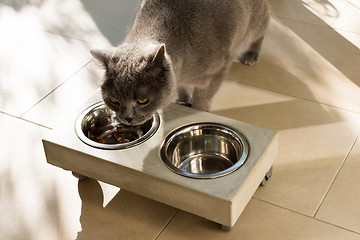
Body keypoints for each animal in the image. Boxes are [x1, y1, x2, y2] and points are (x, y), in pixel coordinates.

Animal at [90, 0, 270, 125]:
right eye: (114, 101)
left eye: (143, 101)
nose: (127, 118)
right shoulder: (178, 79)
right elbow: (182, 89)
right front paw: (183, 101)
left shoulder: (216, 72)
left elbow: (202, 99)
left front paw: (199, 110)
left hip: (255, 22)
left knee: (261, 31)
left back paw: (251, 55)